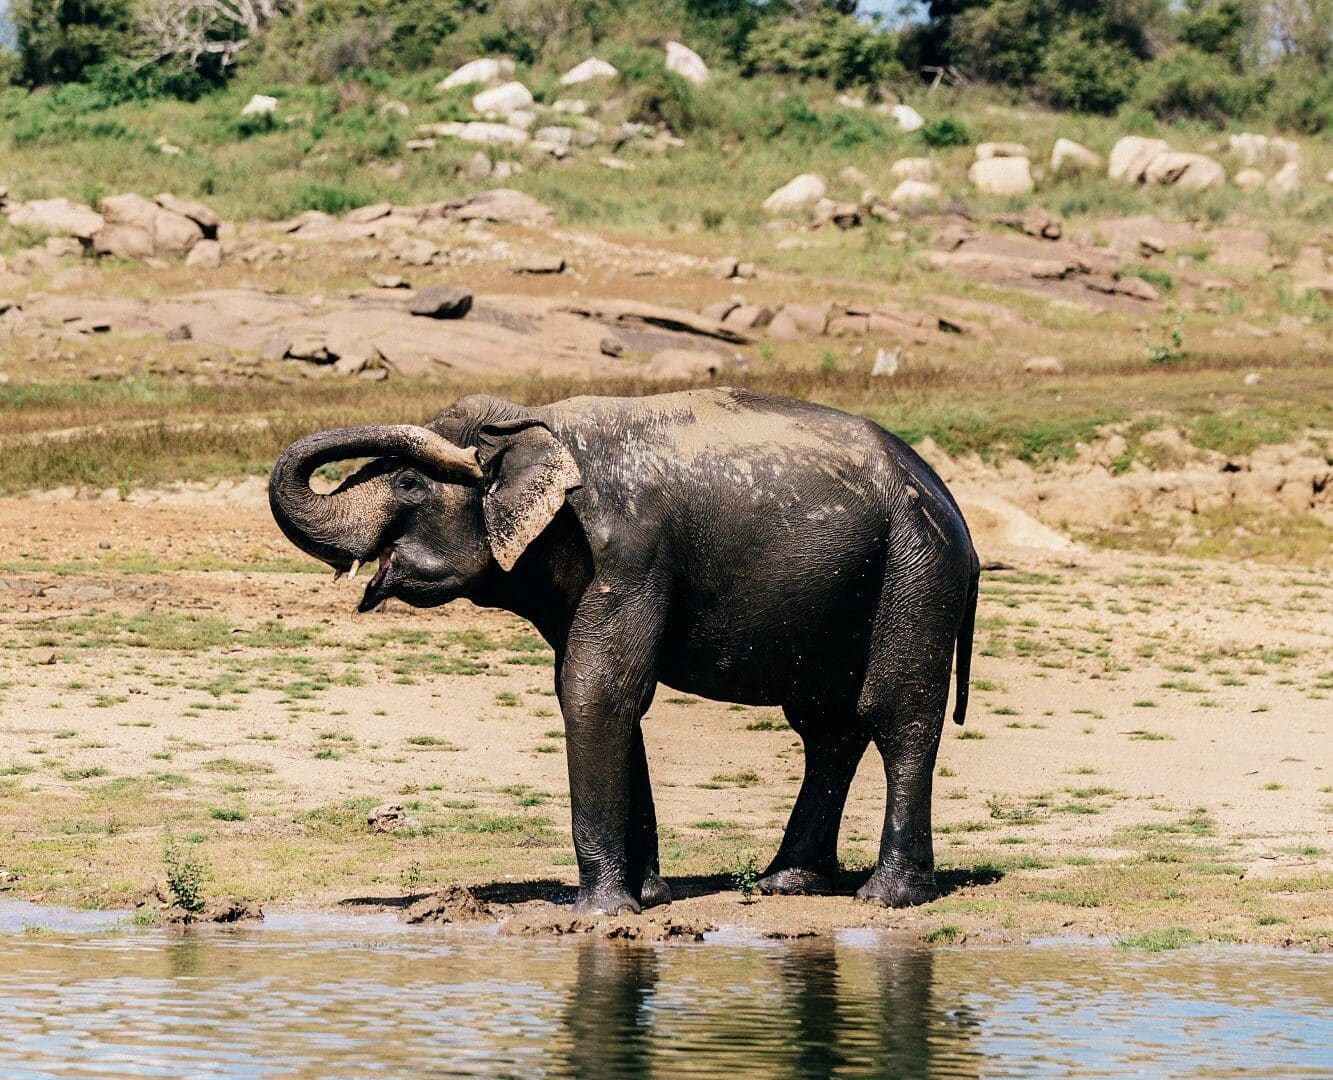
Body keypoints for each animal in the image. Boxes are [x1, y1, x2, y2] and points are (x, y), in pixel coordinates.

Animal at [269, 388, 980, 915]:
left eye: (409, 485)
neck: (540, 428)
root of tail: (952, 506)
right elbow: (602, 696)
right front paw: (650, 898)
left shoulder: (630, 556)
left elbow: (597, 691)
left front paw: (600, 913)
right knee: (826, 729)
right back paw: (788, 884)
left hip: (916, 572)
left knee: (896, 717)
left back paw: (887, 898)